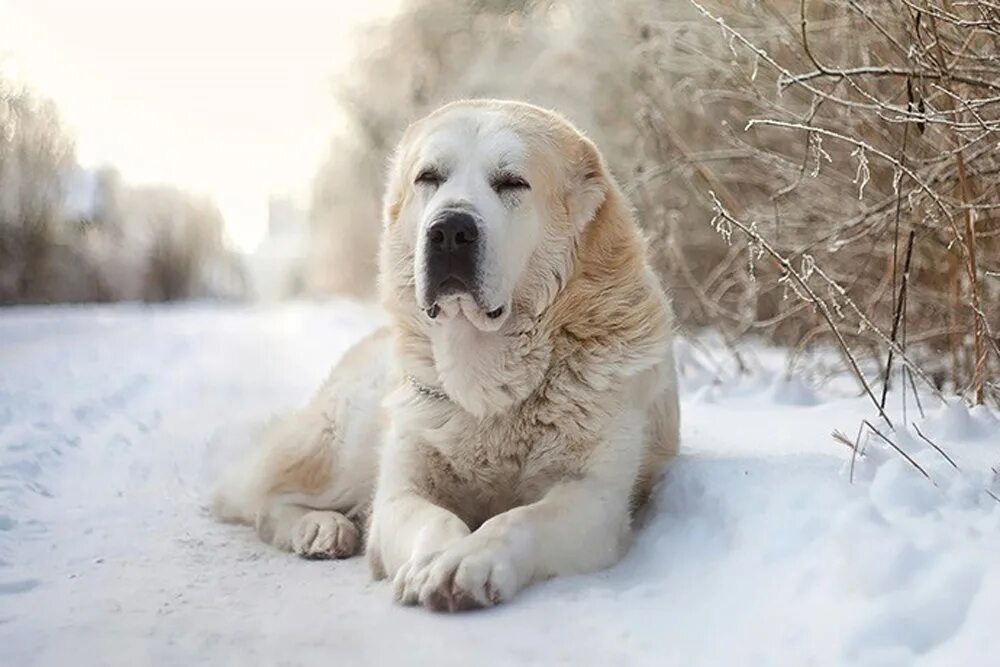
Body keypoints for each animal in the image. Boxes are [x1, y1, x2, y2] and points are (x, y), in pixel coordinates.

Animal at [211, 96, 680, 612]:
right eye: (429, 177)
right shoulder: (401, 491)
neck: (487, 381)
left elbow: (517, 519)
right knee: (262, 499)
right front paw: (435, 560)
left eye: (512, 182)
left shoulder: (593, 497)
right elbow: (432, 518)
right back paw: (320, 527)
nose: (450, 229)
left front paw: (470, 561)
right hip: (346, 438)